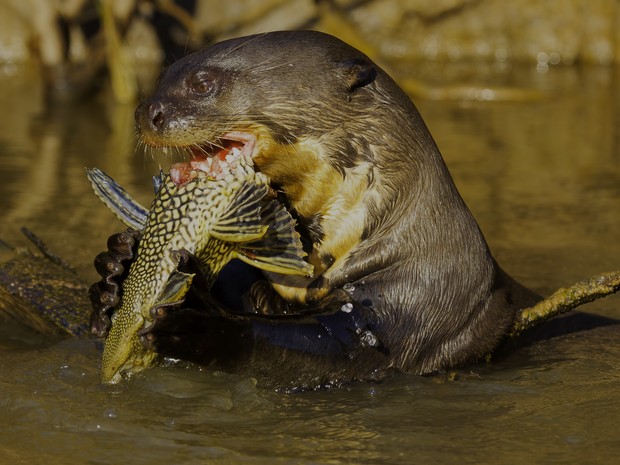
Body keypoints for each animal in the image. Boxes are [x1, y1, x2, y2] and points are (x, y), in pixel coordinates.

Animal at [89, 30, 540, 390]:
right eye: (164, 75)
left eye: (202, 83)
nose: (146, 112)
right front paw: (116, 271)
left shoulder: (420, 298)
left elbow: (340, 350)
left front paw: (200, 321)